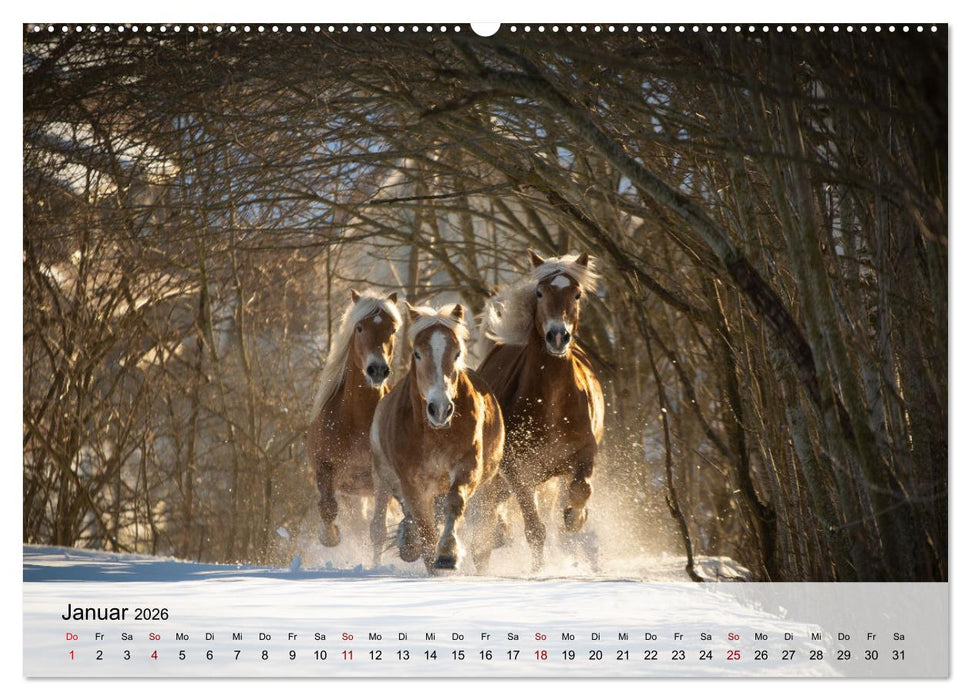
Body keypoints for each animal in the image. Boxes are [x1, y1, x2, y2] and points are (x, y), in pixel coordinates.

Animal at [306, 289, 401, 551]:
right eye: (359, 328)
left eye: (392, 330)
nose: (377, 369)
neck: (357, 421)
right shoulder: (325, 468)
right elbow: (328, 510)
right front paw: (330, 535)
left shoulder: (383, 481)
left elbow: (378, 530)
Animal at [370, 303, 505, 572]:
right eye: (417, 354)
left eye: (457, 353)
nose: (440, 409)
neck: (435, 434)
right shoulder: (412, 484)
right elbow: (424, 525)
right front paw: (429, 557)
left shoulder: (467, 468)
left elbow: (454, 503)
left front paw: (447, 555)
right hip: (385, 479)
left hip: (486, 488)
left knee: (482, 538)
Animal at [477, 250, 605, 570]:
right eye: (539, 292)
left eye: (577, 294)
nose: (557, 336)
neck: (552, 403)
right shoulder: (516, 469)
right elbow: (534, 529)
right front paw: (538, 572)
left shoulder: (584, 453)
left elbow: (581, 490)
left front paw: (575, 518)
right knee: (488, 517)